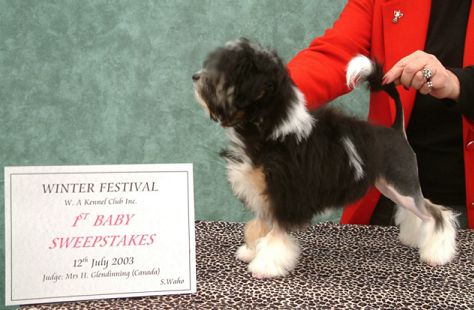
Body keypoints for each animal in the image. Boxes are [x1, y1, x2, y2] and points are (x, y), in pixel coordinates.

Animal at [191, 38, 458, 278]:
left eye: (228, 72)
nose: (195, 77)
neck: (271, 130)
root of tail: (396, 131)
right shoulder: (265, 195)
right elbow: (258, 226)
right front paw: (251, 250)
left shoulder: (283, 195)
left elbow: (275, 236)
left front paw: (266, 266)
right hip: (392, 187)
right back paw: (416, 238)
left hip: (403, 184)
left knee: (437, 214)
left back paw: (437, 253)